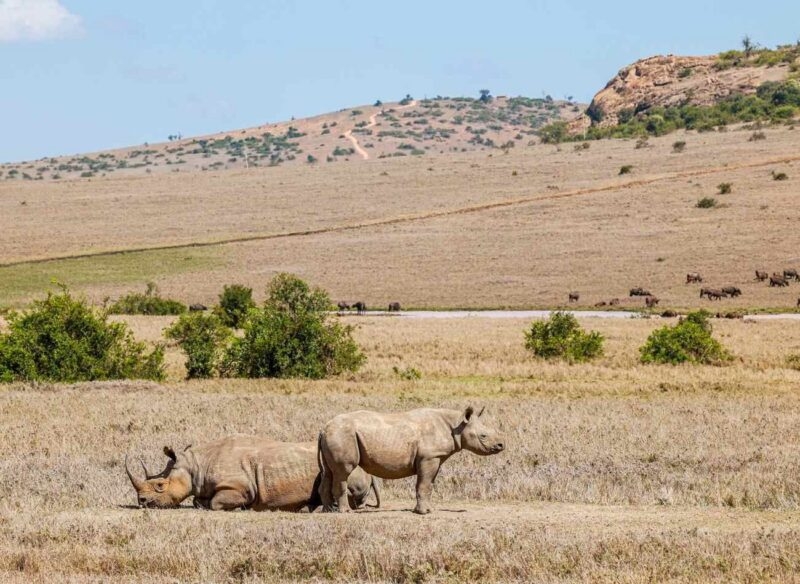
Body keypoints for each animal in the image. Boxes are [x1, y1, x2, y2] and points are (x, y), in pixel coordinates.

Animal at [125, 435, 379, 512]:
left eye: (160, 486)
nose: (142, 502)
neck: (196, 465)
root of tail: (370, 474)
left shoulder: (242, 488)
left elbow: (216, 503)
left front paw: (239, 508)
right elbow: (199, 500)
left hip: (348, 468)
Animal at [318, 406, 504, 515]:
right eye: (483, 436)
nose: (501, 445)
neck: (456, 424)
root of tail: (324, 428)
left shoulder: (435, 457)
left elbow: (429, 485)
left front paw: (429, 509)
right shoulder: (429, 457)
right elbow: (423, 484)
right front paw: (423, 513)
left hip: (335, 435)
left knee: (328, 472)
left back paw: (328, 511)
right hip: (343, 434)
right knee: (343, 472)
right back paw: (345, 512)